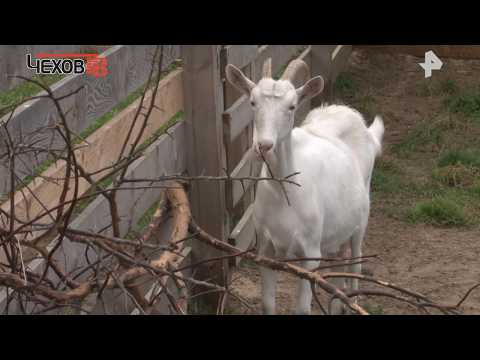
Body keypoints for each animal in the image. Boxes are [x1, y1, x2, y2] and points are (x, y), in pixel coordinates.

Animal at [224, 57, 382, 314]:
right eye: (253, 102)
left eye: (292, 106)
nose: (263, 146)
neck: (284, 195)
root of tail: (347, 112)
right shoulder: (266, 249)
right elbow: (268, 303)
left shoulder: (310, 254)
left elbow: (302, 308)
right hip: (336, 233)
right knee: (339, 264)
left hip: (361, 219)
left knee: (355, 263)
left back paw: (354, 302)